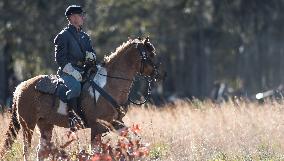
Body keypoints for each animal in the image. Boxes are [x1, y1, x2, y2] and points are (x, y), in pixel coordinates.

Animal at [0, 37, 161, 160]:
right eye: (149, 55)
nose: (159, 74)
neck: (109, 84)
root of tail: (20, 87)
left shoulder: (115, 123)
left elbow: (134, 138)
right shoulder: (96, 127)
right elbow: (95, 152)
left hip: (45, 125)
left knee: (41, 151)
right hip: (28, 125)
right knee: (27, 150)